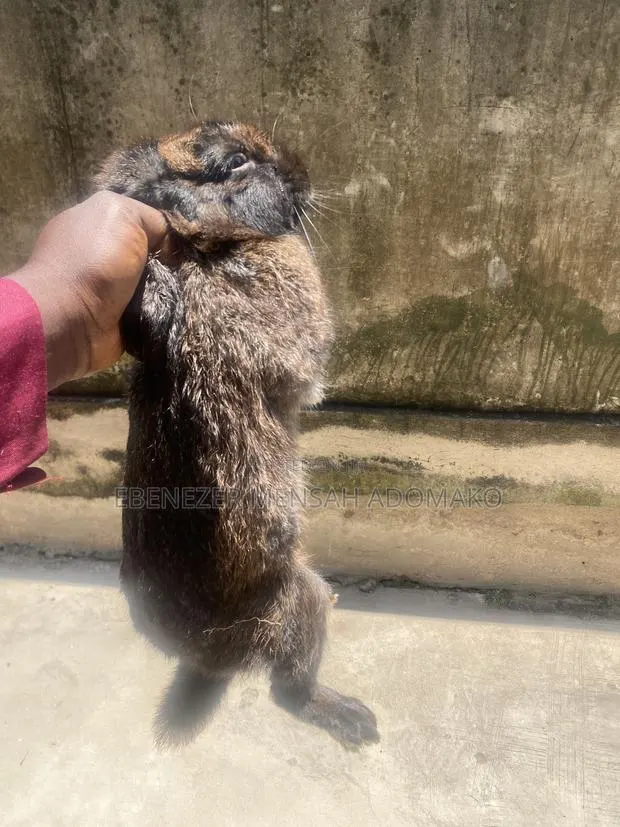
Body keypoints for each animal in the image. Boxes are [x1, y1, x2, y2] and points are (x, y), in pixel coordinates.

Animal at [94, 121, 379, 749]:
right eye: (236, 163)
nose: (301, 172)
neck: (208, 244)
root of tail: (212, 658)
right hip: (301, 598)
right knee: (288, 688)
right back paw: (353, 718)